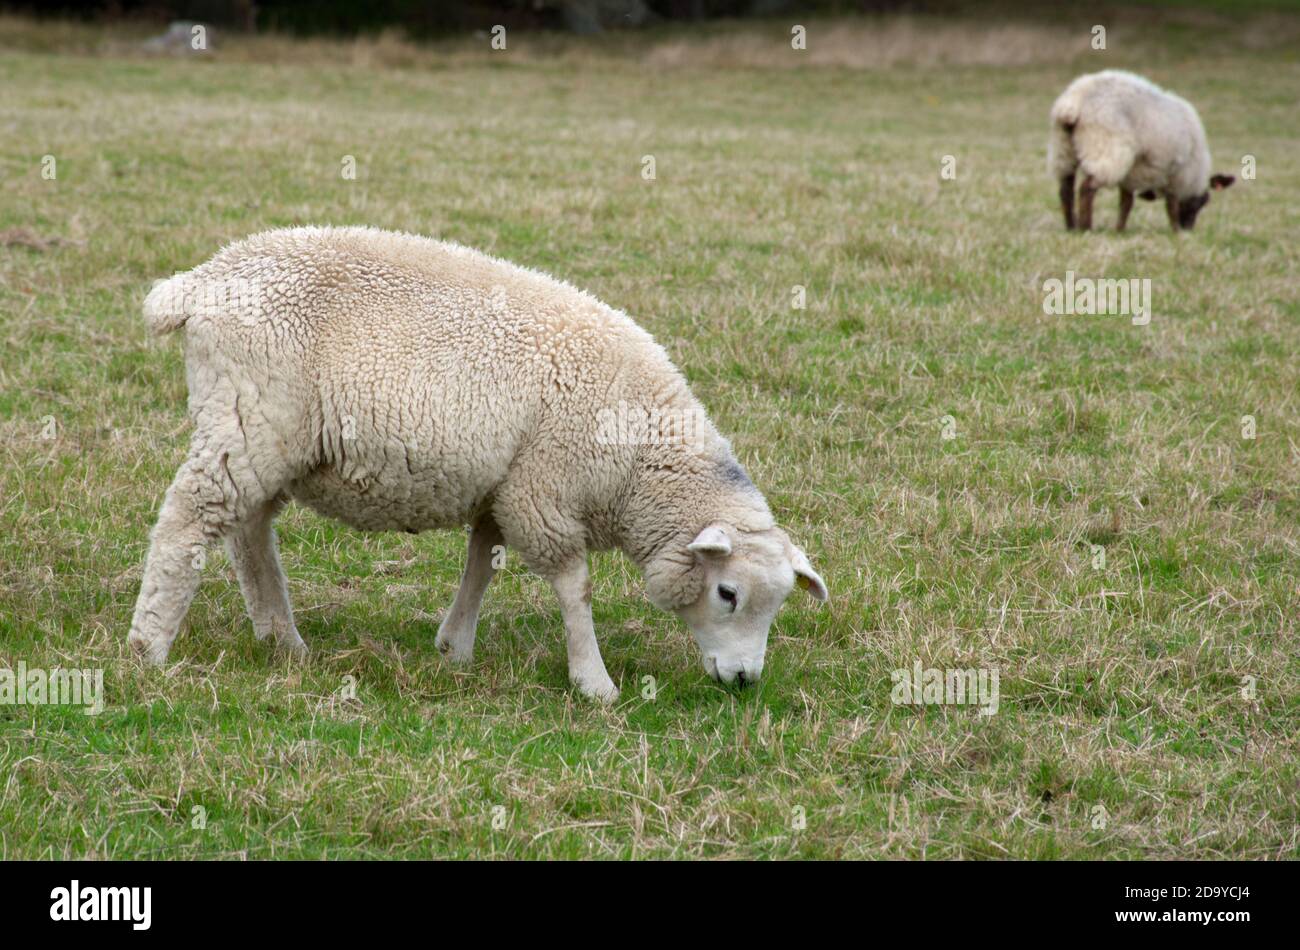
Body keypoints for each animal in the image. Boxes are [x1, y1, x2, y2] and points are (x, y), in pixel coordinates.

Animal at [129, 226, 821, 701]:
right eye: (728, 593)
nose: (745, 679)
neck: (641, 465)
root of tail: (201, 280)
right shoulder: (544, 491)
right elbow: (575, 587)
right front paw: (593, 681)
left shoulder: (505, 487)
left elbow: (482, 564)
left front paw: (454, 646)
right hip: (248, 419)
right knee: (189, 521)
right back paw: (149, 647)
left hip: (267, 437)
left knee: (247, 531)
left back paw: (283, 642)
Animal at [1045, 70, 1237, 232]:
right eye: (1202, 202)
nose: (1187, 229)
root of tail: (1073, 102)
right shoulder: (1175, 173)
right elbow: (1171, 206)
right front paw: (1175, 231)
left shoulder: (1132, 174)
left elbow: (1126, 203)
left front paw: (1119, 230)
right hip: (1107, 151)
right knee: (1086, 188)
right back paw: (1085, 228)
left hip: (1062, 149)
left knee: (1065, 189)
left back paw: (1071, 227)